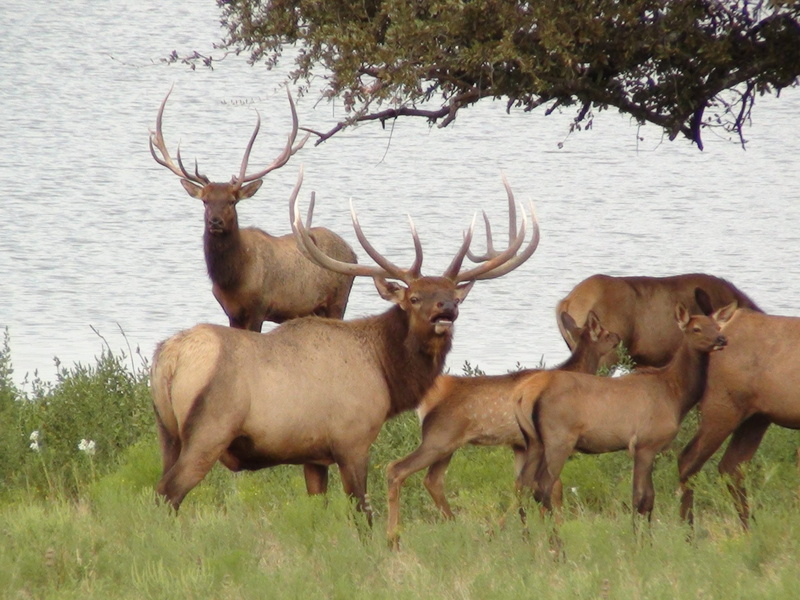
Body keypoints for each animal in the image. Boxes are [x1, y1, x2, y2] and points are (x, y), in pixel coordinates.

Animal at [149, 88, 356, 332]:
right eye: (205, 201)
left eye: (232, 201)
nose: (215, 221)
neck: (233, 280)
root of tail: (353, 253)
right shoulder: (231, 312)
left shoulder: (260, 307)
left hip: (338, 300)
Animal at [150, 170, 540, 523]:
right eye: (414, 298)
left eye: (452, 296)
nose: (446, 310)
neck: (385, 374)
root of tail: (169, 359)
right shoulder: (353, 440)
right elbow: (362, 512)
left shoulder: (312, 455)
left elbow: (318, 508)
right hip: (209, 429)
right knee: (168, 493)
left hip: (167, 433)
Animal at [385, 310, 621, 545]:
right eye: (606, 332)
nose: (618, 337)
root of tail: (429, 398)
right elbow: (552, 487)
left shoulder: (520, 446)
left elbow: (524, 486)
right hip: (439, 438)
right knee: (396, 469)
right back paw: (393, 537)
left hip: (447, 443)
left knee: (432, 480)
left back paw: (453, 524)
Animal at [514, 291, 734, 527]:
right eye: (696, 328)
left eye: (717, 326)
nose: (721, 339)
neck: (676, 396)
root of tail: (524, 396)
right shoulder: (646, 443)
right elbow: (641, 499)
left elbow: (648, 499)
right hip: (559, 439)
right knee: (543, 487)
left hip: (533, 442)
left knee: (522, 485)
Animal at [678, 308, 800, 530]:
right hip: (722, 409)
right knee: (689, 460)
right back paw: (688, 531)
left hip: (756, 418)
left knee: (731, 467)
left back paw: (750, 529)